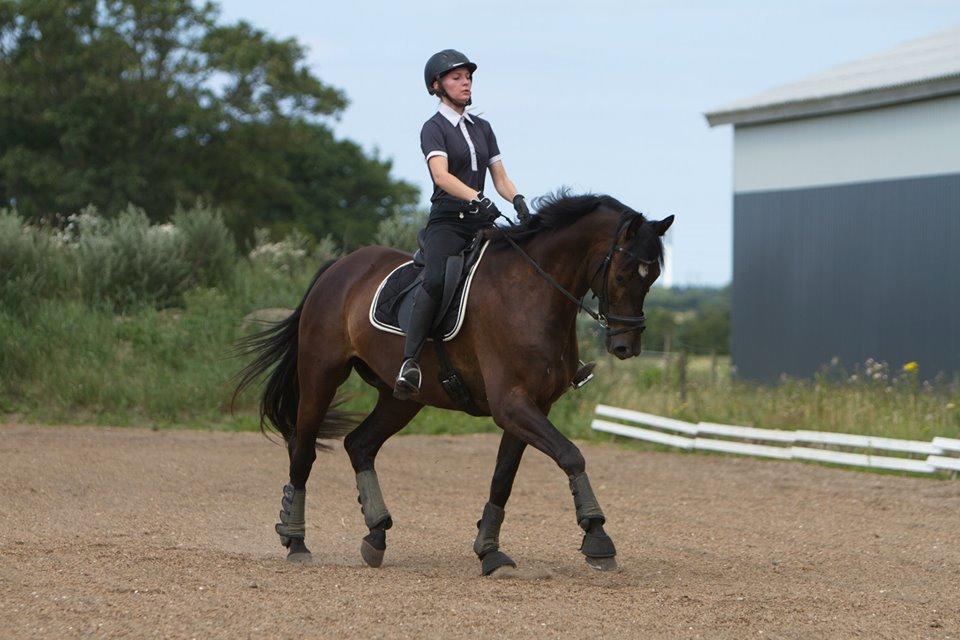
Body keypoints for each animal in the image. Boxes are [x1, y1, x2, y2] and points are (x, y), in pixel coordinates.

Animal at [233, 191, 672, 576]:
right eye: (623, 274)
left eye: (653, 277)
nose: (626, 346)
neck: (531, 291)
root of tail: (341, 265)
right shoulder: (511, 404)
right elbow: (571, 455)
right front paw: (598, 539)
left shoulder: (532, 406)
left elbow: (503, 479)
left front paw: (489, 552)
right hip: (321, 375)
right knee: (303, 450)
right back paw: (296, 542)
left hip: (401, 398)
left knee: (360, 444)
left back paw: (376, 536)